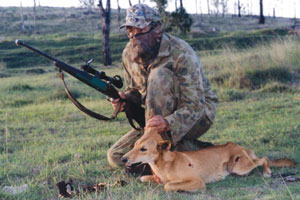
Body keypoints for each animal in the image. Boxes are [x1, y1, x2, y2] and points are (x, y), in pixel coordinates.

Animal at [122, 127, 296, 191]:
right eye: (134, 145)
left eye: (143, 149)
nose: (123, 159)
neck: (165, 165)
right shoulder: (151, 177)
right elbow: (144, 178)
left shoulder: (197, 181)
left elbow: (168, 185)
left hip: (239, 165)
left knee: (264, 158)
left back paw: (267, 172)